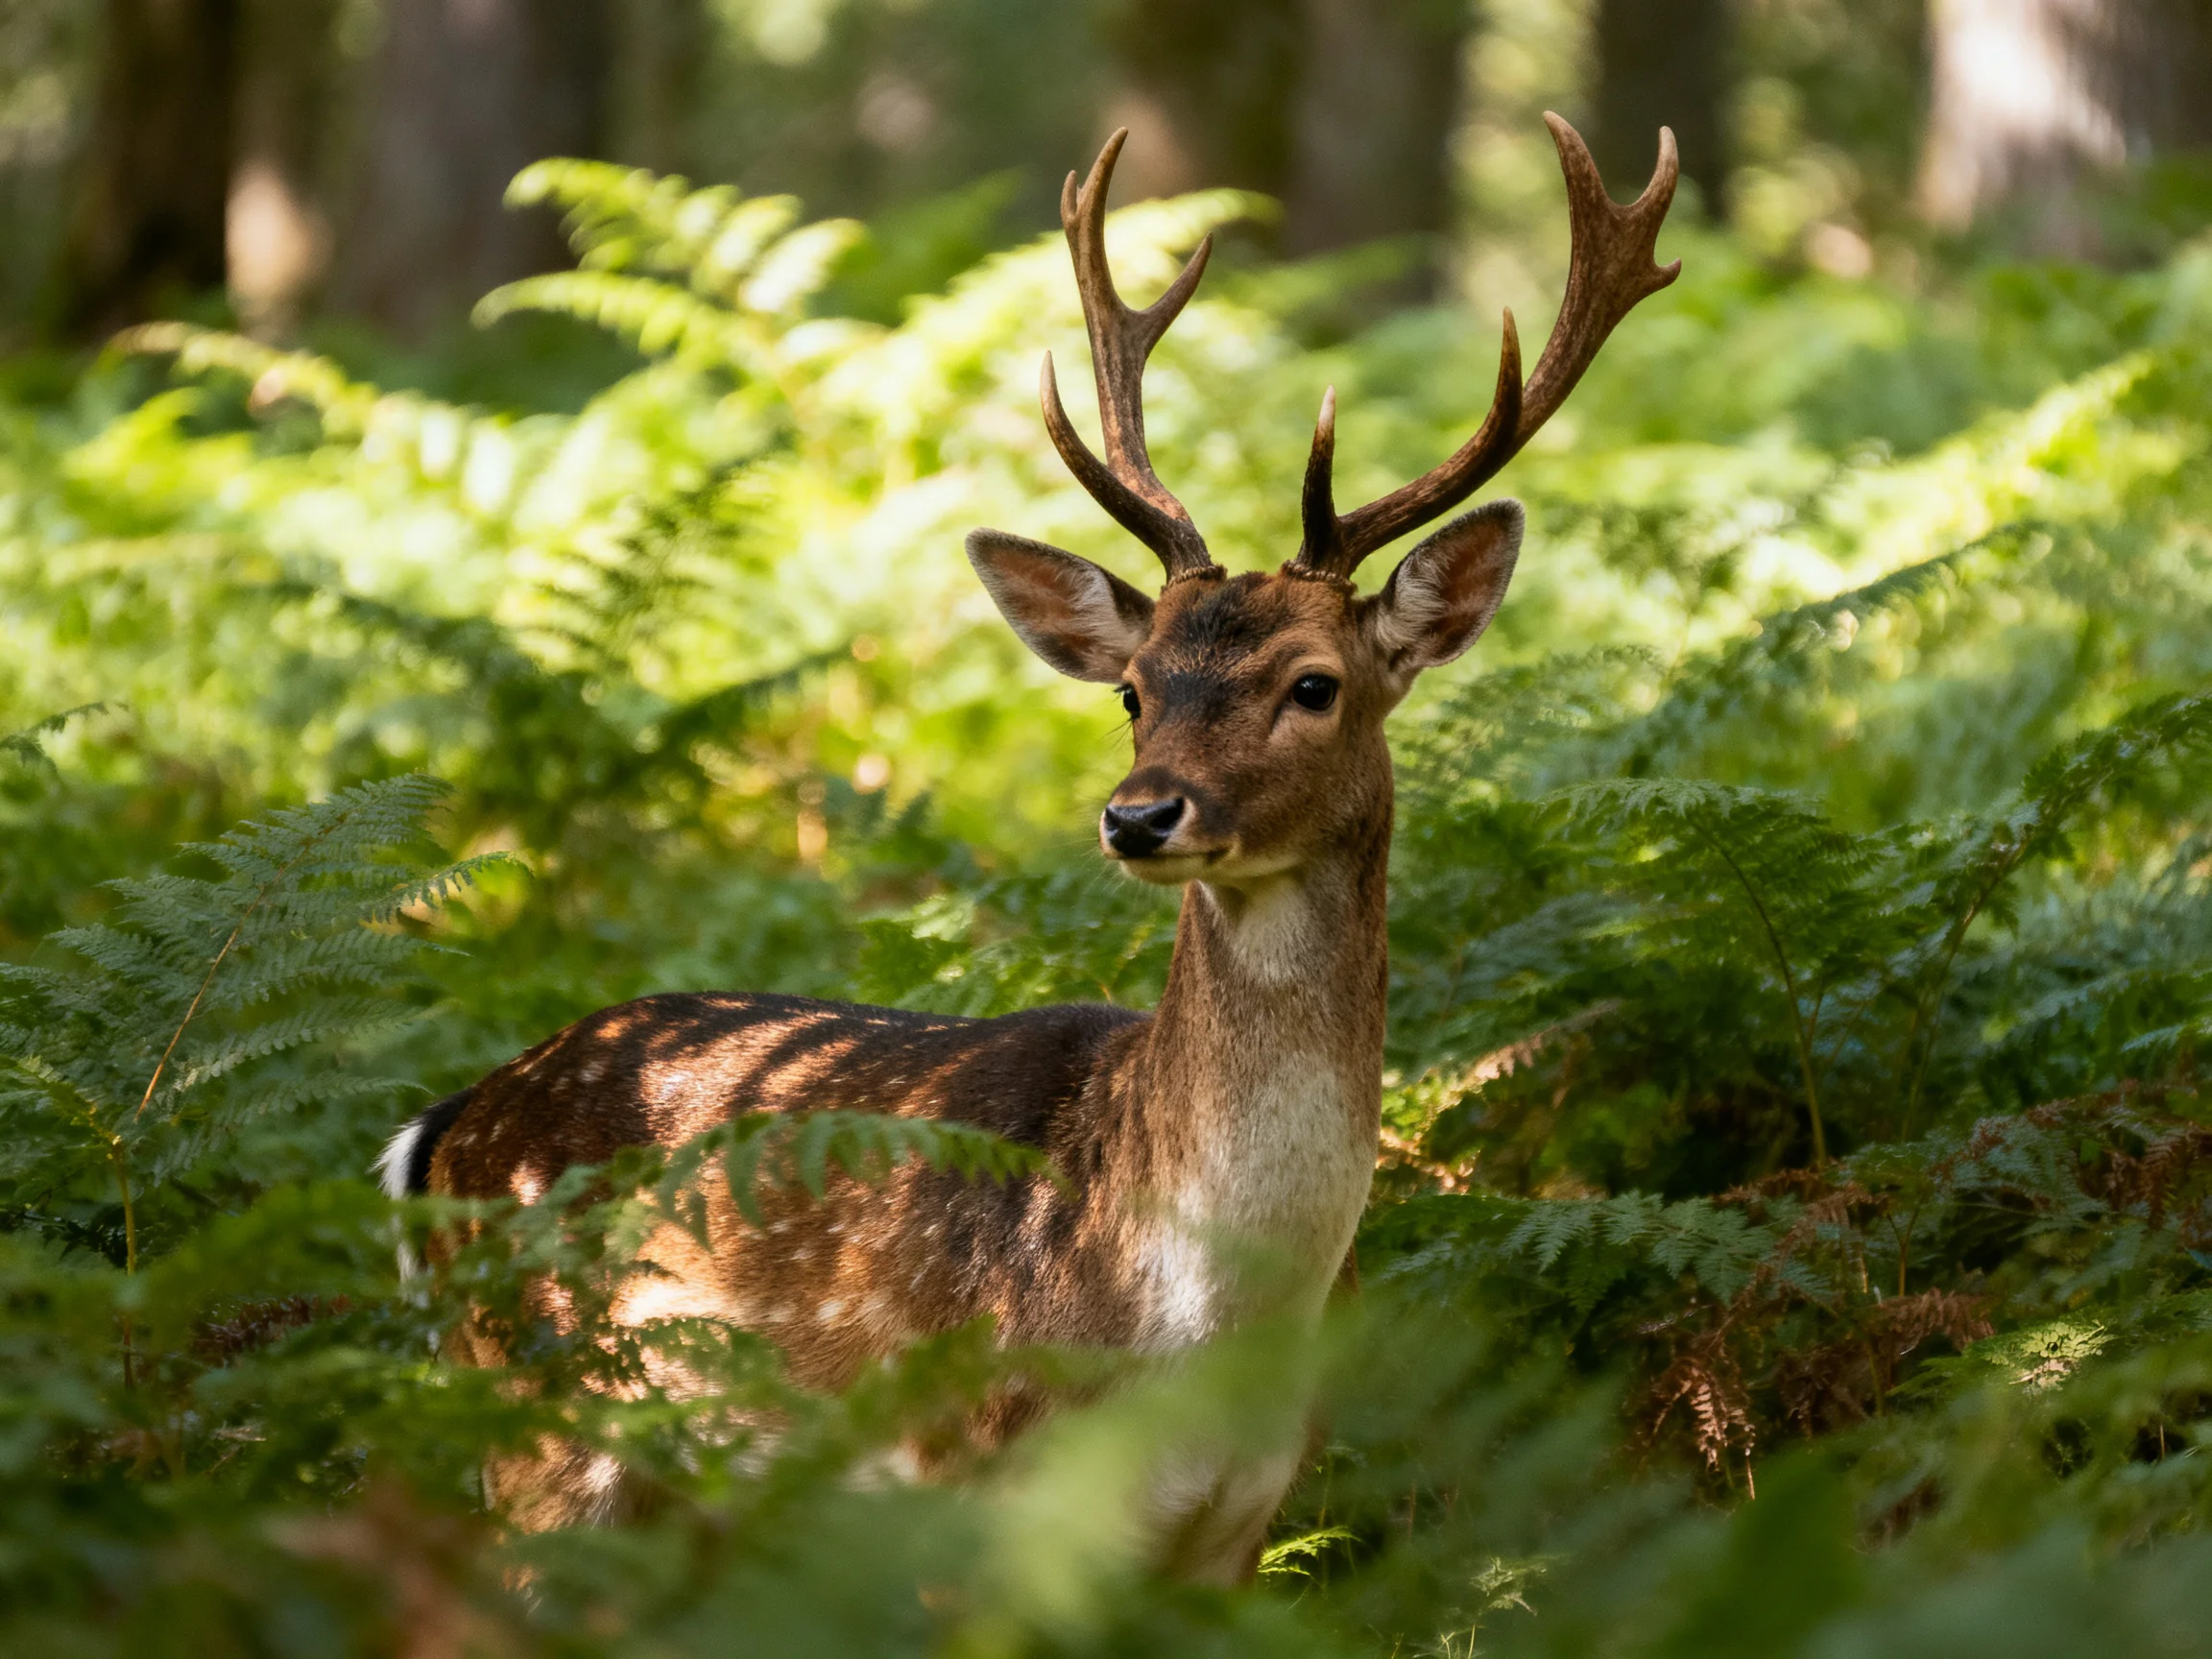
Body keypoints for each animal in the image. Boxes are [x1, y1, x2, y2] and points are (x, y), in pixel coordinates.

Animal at [379, 113, 1678, 1580]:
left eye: (1314, 684)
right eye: (1135, 690)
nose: (1140, 814)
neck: (1198, 1328)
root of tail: (443, 1129)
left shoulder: (1238, 1528)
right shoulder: (980, 1487)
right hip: (532, 1436)